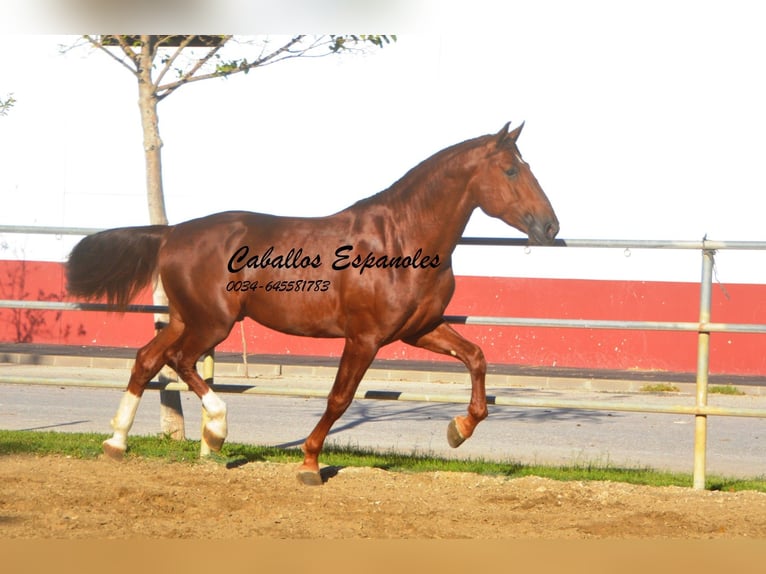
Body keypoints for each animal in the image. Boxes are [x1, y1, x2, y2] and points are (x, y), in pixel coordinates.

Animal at [67, 124, 560, 488]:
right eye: (511, 170)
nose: (550, 227)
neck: (400, 240)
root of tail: (172, 234)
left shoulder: (420, 328)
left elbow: (476, 357)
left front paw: (459, 429)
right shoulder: (365, 338)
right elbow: (340, 398)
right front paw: (308, 464)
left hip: (187, 318)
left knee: (147, 358)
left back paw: (116, 442)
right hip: (212, 323)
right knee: (179, 359)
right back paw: (216, 430)